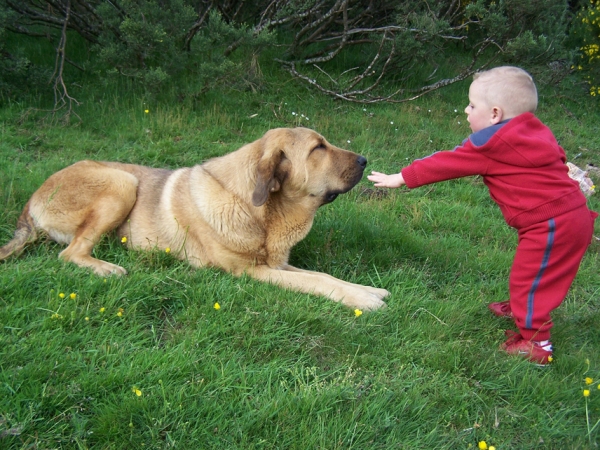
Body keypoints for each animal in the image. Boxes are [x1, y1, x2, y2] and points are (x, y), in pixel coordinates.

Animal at [0, 126, 390, 310]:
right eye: (317, 148)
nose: (365, 161)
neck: (256, 208)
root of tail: (30, 202)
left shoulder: (275, 263)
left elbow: (322, 275)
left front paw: (367, 290)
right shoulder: (252, 272)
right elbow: (316, 282)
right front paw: (363, 300)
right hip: (122, 182)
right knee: (69, 254)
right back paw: (106, 268)